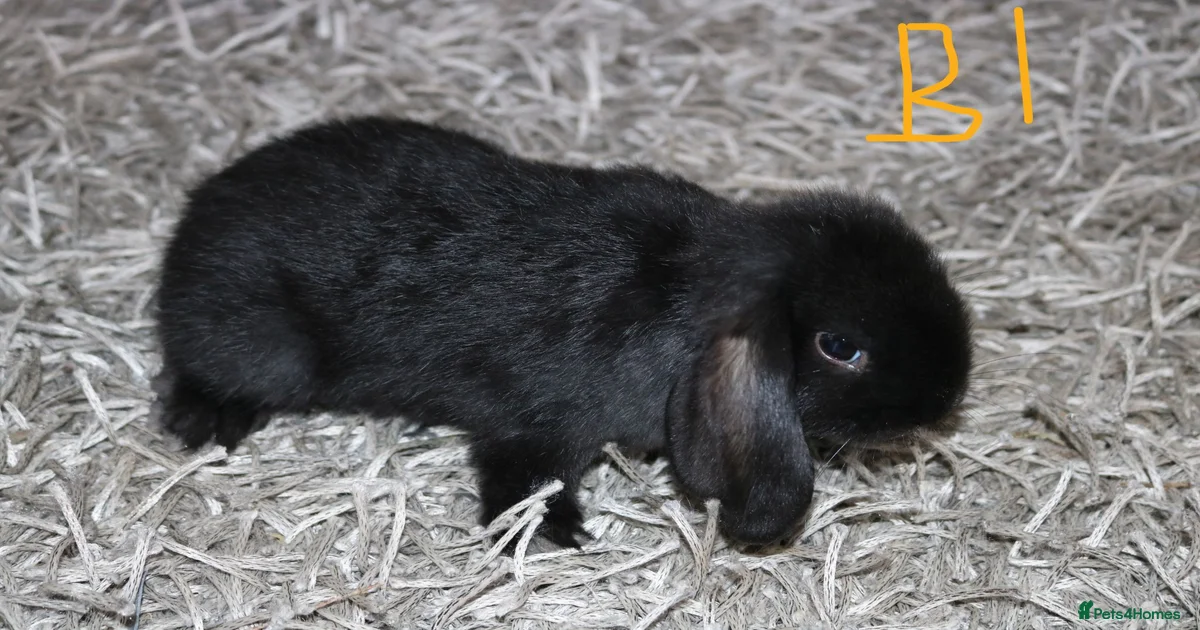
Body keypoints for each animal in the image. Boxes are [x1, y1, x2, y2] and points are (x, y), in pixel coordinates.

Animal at [153, 115, 973, 549]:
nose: (947, 397)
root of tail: (195, 221)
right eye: (841, 347)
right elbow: (524, 479)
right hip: (263, 351)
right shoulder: (534, 424)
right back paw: (206, 418)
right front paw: (555, 534)